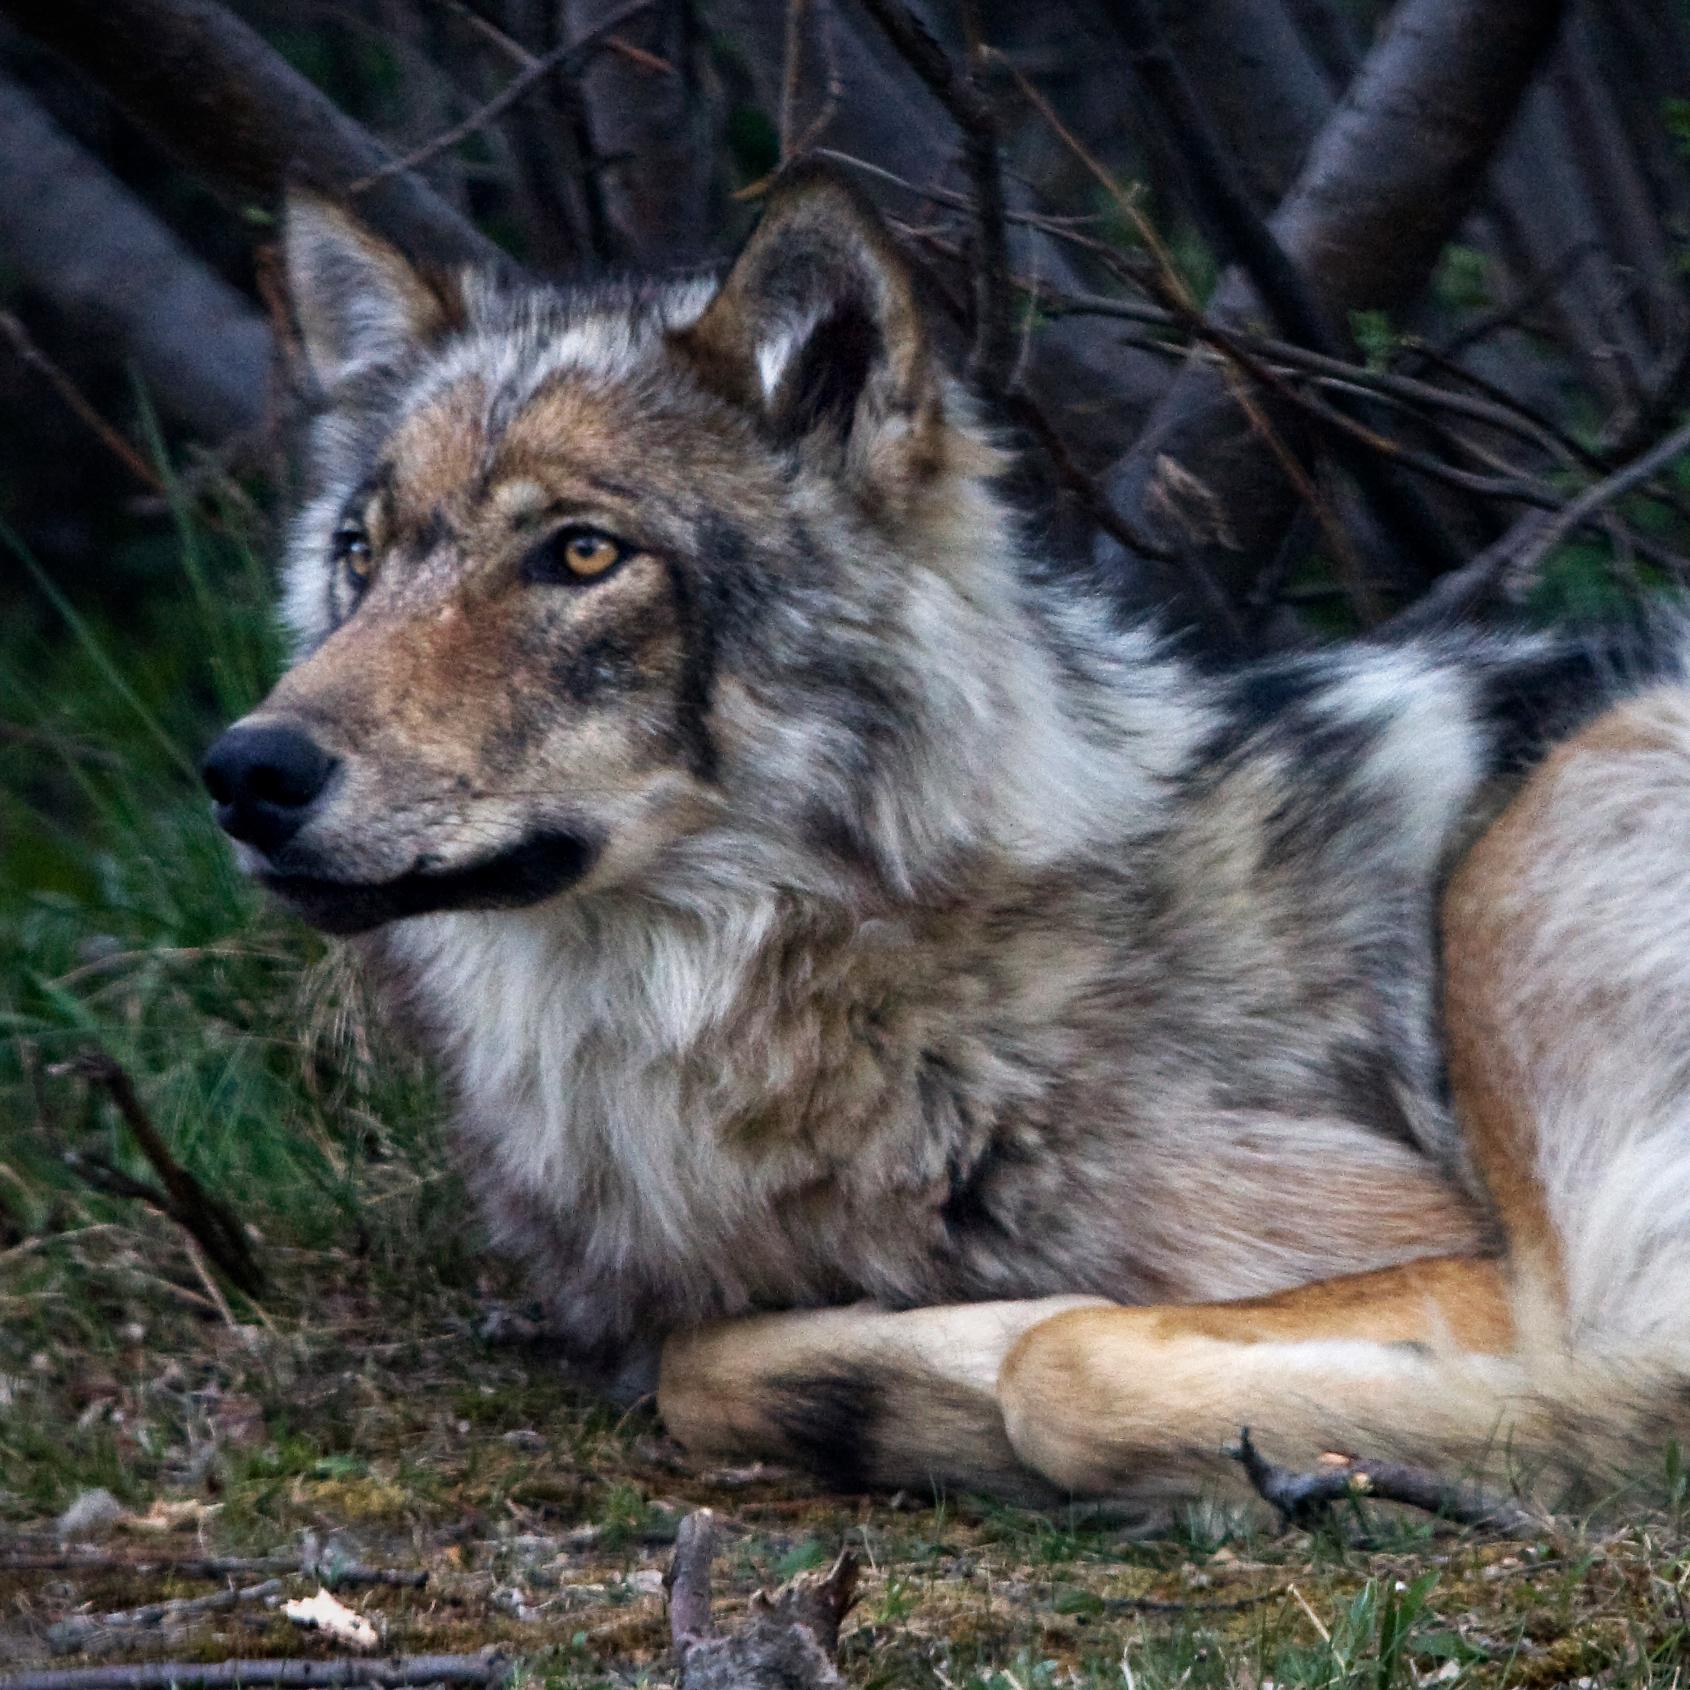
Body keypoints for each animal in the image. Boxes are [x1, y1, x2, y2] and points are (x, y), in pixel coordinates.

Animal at [201, 167, 1690, 1514]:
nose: (245, 771)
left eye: (579, 553)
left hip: (1543, 832)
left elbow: (1053, 1347)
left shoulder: (1440, 1241)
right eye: (359, 553)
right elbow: (700, 1367)